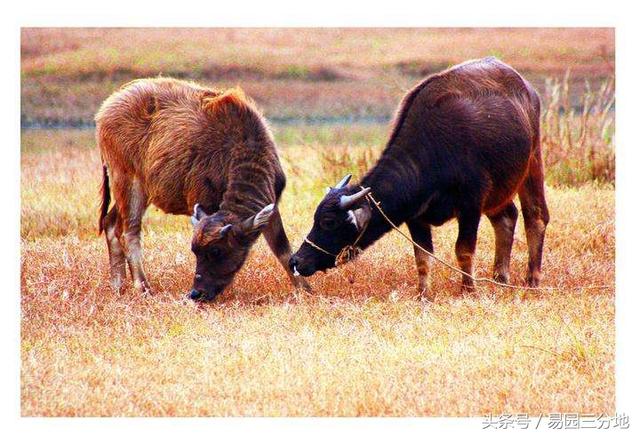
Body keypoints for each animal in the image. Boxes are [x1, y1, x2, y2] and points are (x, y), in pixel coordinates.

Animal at [95, 76, 310, 300]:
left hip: (140, 190)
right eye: (195, 251)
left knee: (110, 223)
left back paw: (118, 285)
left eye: (216, 251)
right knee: (129, 231)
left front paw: (305, 290)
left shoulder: (271, 206)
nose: (196, 293)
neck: (239, 150)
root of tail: (107, 108)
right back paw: (143, 287)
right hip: (127, 181)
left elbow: (282, 249)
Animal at [290, 58, 552, 300]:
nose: (296, 260)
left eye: (328, 222)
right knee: (507, 217)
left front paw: (468, 290)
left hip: (532, 161)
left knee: (536, 217)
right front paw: (423, 294)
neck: (431, 154)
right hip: (499, 190)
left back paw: (531, 280)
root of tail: (527, 89)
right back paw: (500, 278)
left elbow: (464, 249)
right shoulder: (415, 216)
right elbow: (422, 257)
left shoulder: (471, 204)